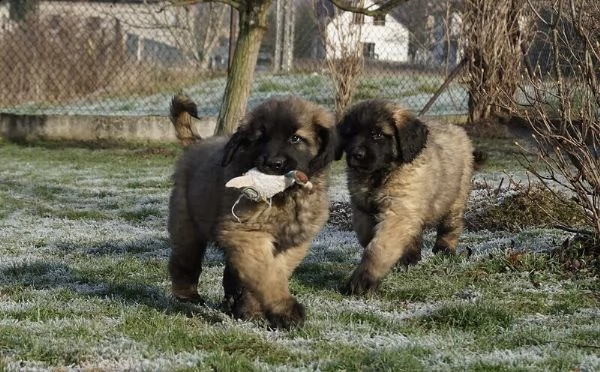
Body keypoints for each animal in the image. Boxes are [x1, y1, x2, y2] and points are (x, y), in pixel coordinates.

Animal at [169, 95, 338, 328]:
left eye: (295, 138)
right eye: (261, 139)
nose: (273, 164)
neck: (286, 196)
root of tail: (197, 144)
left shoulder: (293, 243)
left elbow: (272, 273)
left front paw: (250, 310)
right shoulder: (247, 234)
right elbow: (267, 274)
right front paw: (285, 309)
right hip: (187, 224)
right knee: (185, 260)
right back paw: (187, 295)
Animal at [336, 99, 476, 296]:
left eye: (378, 134)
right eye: (351, 134)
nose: (356, 155)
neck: (379, 175)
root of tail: (457, 129)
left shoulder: (398, 210)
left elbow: (379, 246)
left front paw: (364, 279)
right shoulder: (361, 207)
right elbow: (366, 236)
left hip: (456, 195)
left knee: (451, 225)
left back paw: (444, 249)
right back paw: (410, 256)